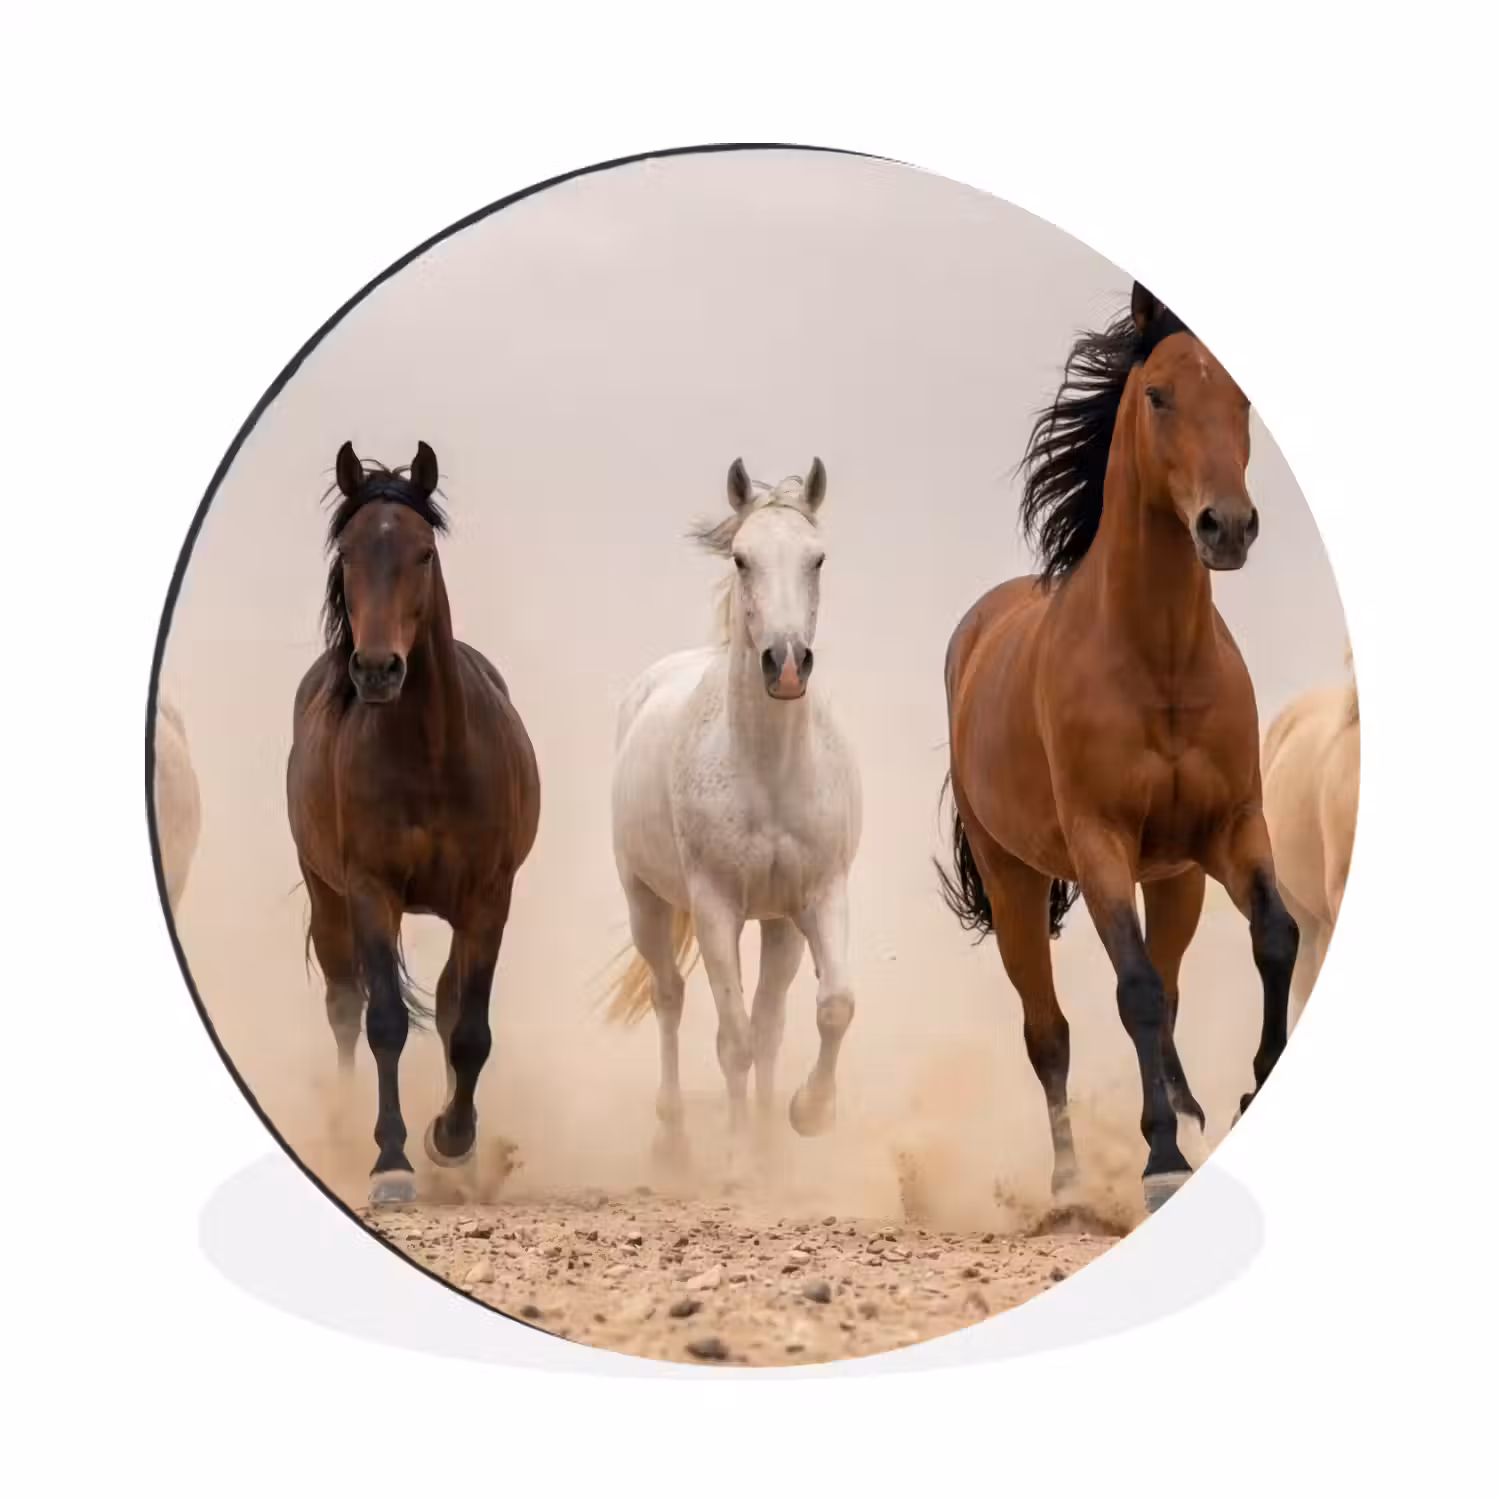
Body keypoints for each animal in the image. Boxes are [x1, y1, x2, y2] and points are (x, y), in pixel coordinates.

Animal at [286, 441, 540, 1206]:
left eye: (423, 552)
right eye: (347, 553)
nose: (376, 669)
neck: (430, 754)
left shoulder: (489, 898)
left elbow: (470, 1029)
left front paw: (451, 1140)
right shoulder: (371, 891)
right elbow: (385, 1023)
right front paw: (391, 1161)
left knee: (454, 1002)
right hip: (327, 896)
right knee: (344, 1004)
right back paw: (345, 1127)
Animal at [603, 459, 862, 1172]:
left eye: (817, 557)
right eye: (743, 559)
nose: (787, 664)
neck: (768, 770)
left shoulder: (818, 896)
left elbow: (831, 1009)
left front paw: (806, 1117)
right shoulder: (716, 907)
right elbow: (733, 1040)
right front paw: (740, 1160)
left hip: (775, 925)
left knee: (771, 1023)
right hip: (647, 903)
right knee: (670, 997)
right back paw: (673, 1140)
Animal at [939, 282, 1299, 1215]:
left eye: (1242, 401)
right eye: (1159, 396)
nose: (1227, 527)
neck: (1160, 661)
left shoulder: (1231, 830)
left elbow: (1275, 937)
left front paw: (1251, 1092)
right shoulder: (1098, 843)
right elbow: (1129, 990)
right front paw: (1160, 1160)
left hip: (1174, 880)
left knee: (1169, 990)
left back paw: (1192, 1110)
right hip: (1016, 882)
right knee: (1049, 1032)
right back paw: (1069, 1184)